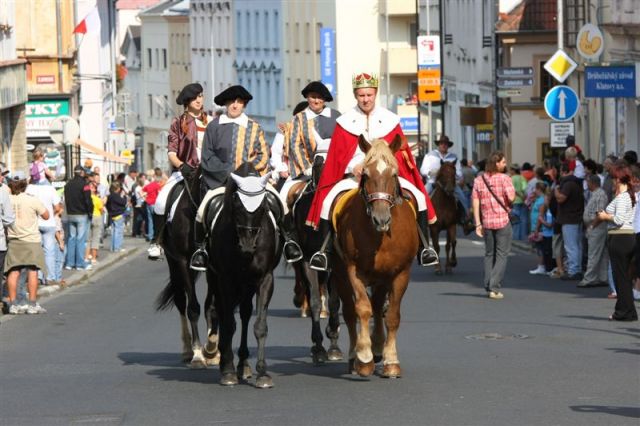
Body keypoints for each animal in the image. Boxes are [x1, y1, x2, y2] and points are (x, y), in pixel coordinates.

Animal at [155, 170, 220, 370]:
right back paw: (187, 351)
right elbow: (193, 308)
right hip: (174, 264)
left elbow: (211, 306)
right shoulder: (183, 262)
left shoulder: (214, 266)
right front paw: (198, 354)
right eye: (206, 184)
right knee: (180, 301)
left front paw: (212, 350)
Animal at [208, 161, 282, 388]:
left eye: (263, 207)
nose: (248, 245)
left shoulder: (265, 279)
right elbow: (229, 324)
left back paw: (243, 364)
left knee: (246, 313)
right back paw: (227, 363)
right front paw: (228, 371)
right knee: (221, 313)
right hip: (216, 280)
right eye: (237, 205)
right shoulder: (226, 279)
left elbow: (259, 326)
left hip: (247, 285)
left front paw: (263, 373)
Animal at [330, 135, 420, 378]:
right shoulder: (353, 270)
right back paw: (355, 355)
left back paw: (379, 347)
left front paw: (391, 361)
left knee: (379, 307)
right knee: (350, 312)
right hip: (341, 275)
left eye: (394, 174)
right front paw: (364, 358)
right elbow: (362, 308)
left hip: (381, 277)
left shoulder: (401, 273)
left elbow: (392, 315)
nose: (381, 219)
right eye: (366, 174)